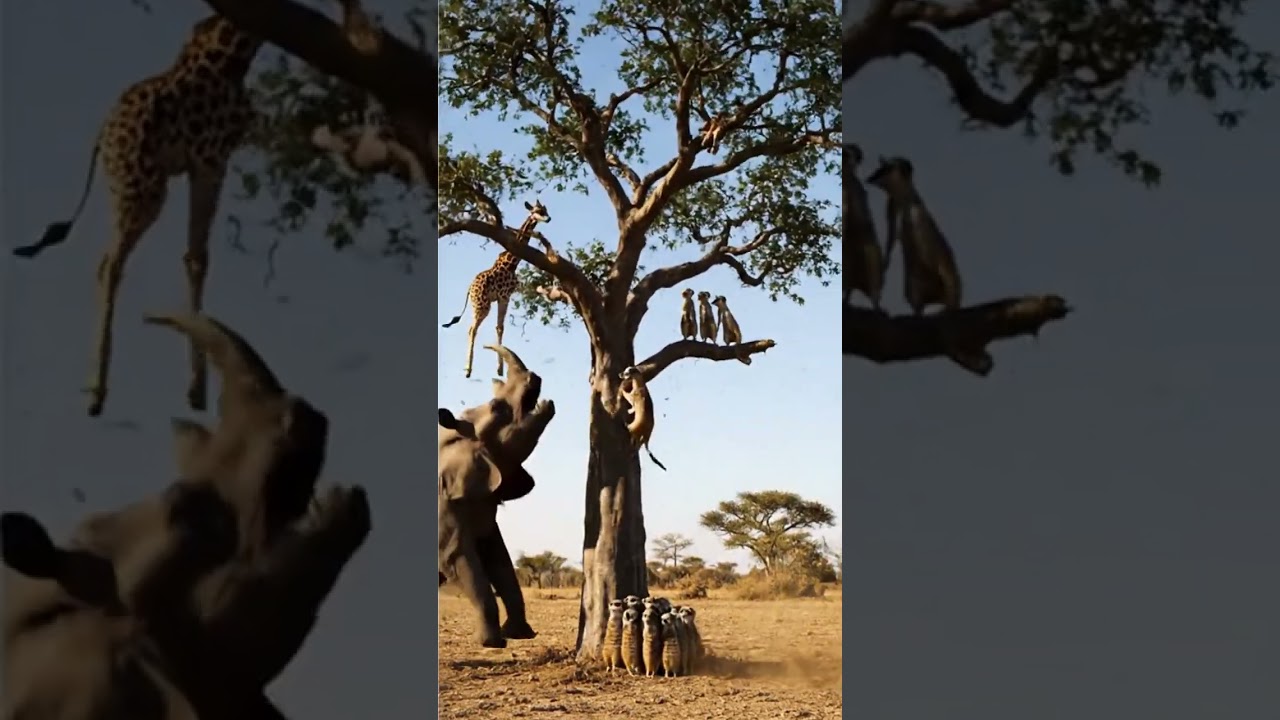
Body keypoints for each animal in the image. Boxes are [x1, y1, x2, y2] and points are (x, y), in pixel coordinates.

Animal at [438, 344, 555, 648]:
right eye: (496, 407)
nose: (535, 376)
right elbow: (459, 559)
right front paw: (491, 644)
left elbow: (499, 559)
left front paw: (519, 635)